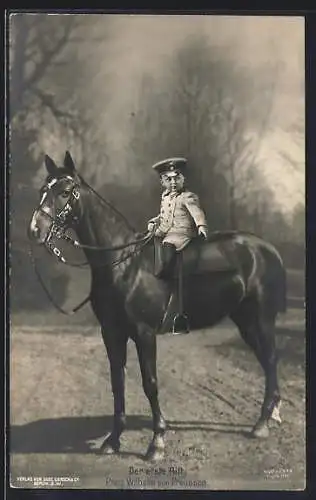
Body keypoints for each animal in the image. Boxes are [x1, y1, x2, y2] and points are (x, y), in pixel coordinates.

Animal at [27, 151, 286, 460]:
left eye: (65, 192)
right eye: (43, 190)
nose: (35, 231)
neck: (124, 265)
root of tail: (267, 249)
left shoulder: (144, 333)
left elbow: (149, 383)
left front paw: (157, 442)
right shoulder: (111, 334)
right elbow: (117, 383)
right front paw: (113, 441)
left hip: (261, 318)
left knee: (270, 360)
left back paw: (262, 423)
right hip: (245, 321)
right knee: (266, 361)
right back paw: (270, 415)